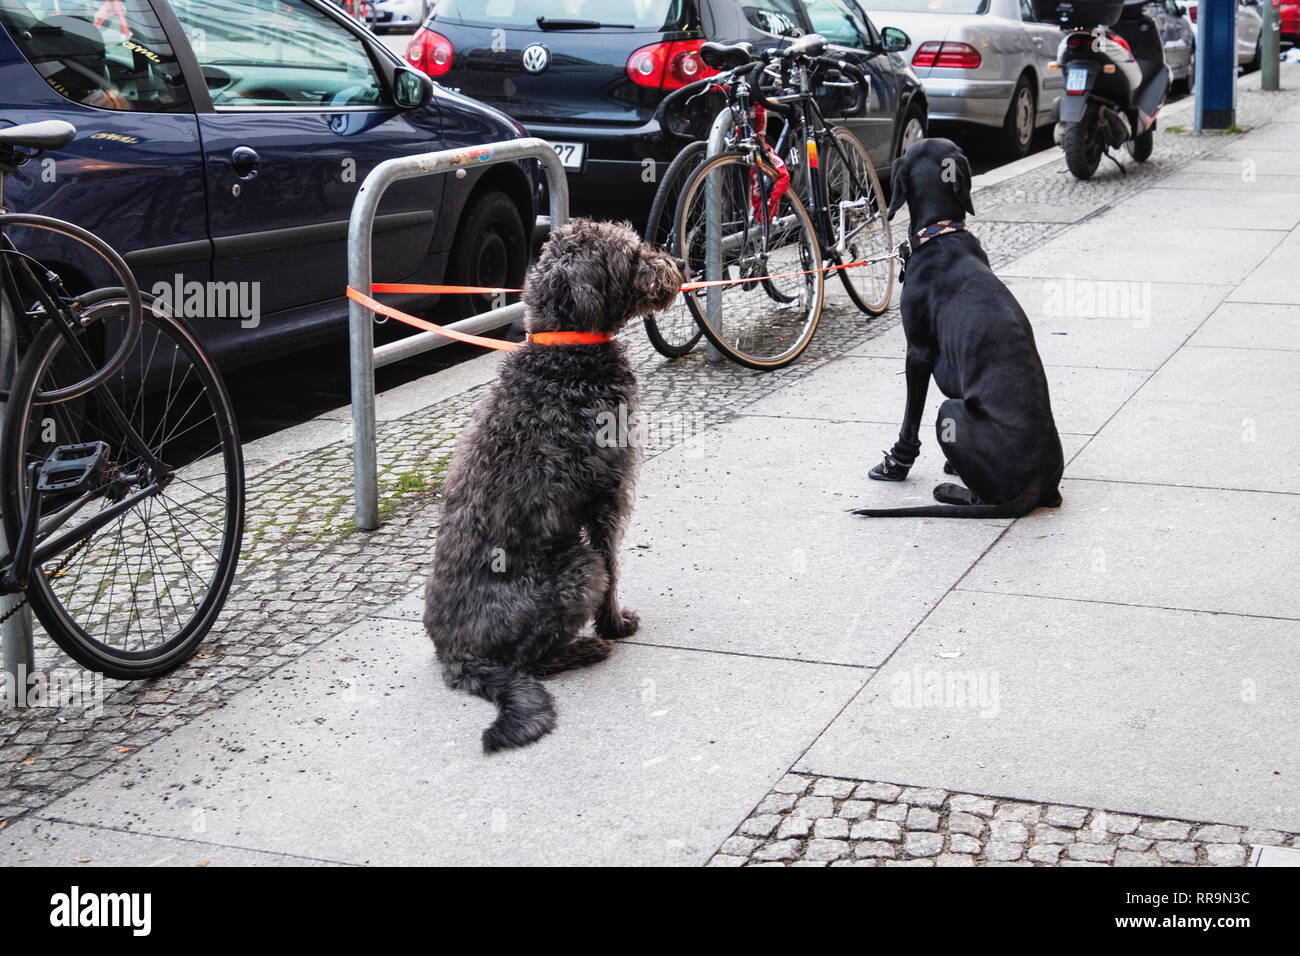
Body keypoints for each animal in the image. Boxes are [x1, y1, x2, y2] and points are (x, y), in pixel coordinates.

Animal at [426, 221, 686, 749]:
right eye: (632, 255)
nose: (677, 264)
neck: (566, 351)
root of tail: (457, 657)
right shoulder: (609, 498)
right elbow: (614, 567)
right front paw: (614, 625)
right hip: (576, 568)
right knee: (532, 661)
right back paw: (584, 649)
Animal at [857, 136, 1060, 515]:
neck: (942, 233)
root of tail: (1038, 485)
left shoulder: (917, 353)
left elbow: (910, 417)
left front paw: (896, 464)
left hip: (950, 410)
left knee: (981, 497)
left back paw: (948, 490)